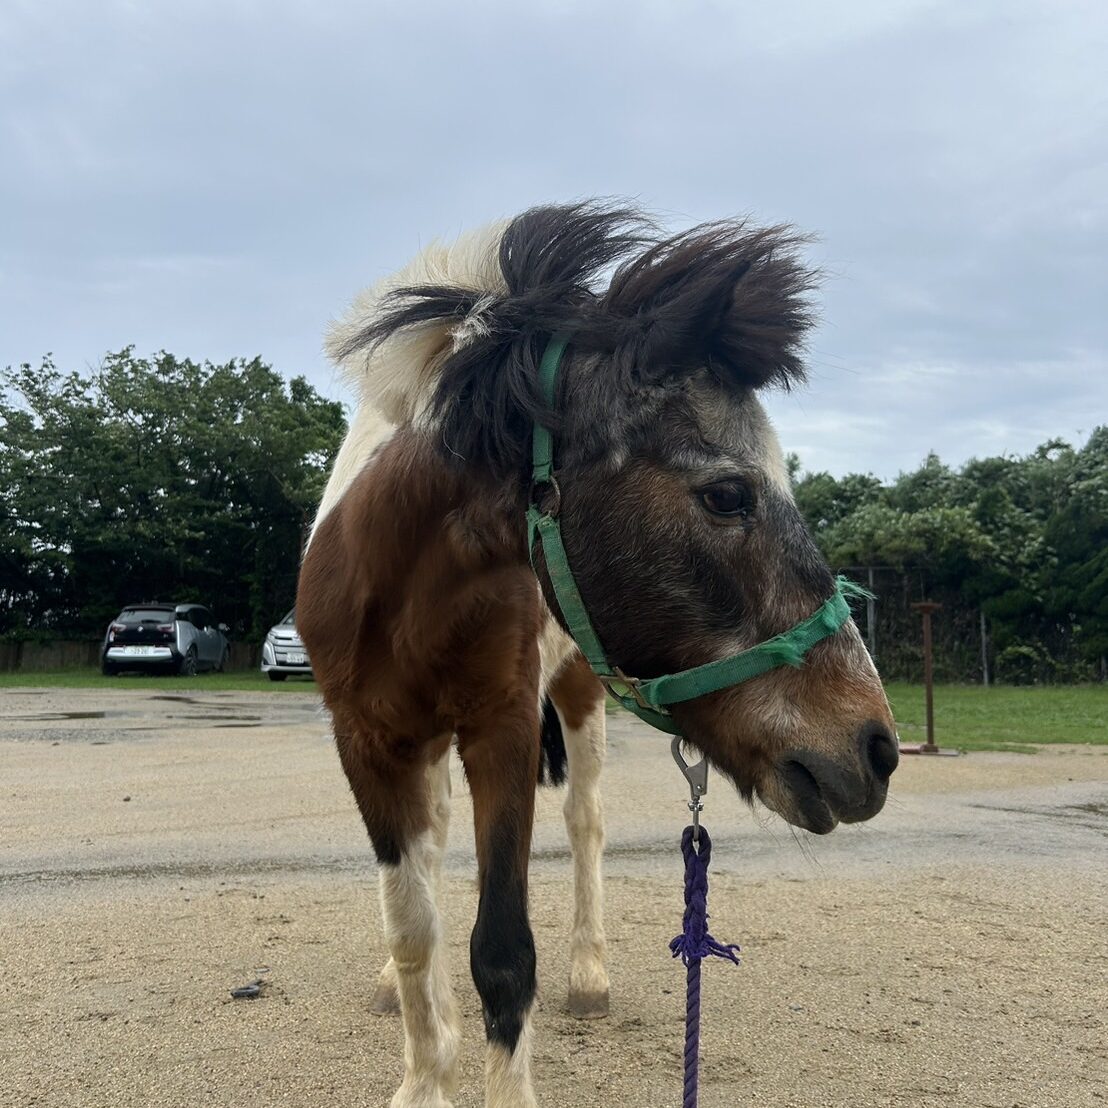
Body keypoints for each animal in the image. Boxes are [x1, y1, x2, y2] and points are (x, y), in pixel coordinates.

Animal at [296, 201, 899, 1108]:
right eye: (728, 494)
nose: (876, 748)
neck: (401, 583)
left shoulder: (503, 729)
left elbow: (503, 954)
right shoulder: (364, 739)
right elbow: (412, 927)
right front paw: (425, 1073)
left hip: (578, 699)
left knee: (585, 823)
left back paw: (588, 974)